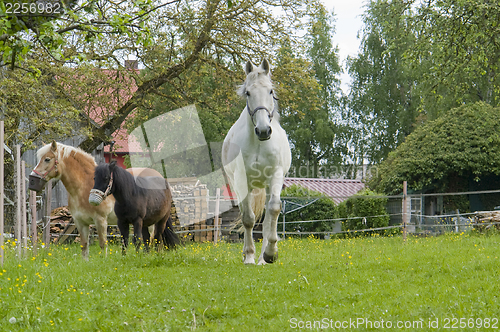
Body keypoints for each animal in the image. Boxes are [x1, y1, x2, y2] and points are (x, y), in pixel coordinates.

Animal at [222, 57, 292, 264]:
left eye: (270, 91)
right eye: (248, 93)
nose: (263, 130)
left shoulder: (276, 175)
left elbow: (273, 211)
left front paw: (270, 253)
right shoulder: (241, 180)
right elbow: (248, 218)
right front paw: (249, 256)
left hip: (267, 186)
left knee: (268, 216)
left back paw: (263, 258)